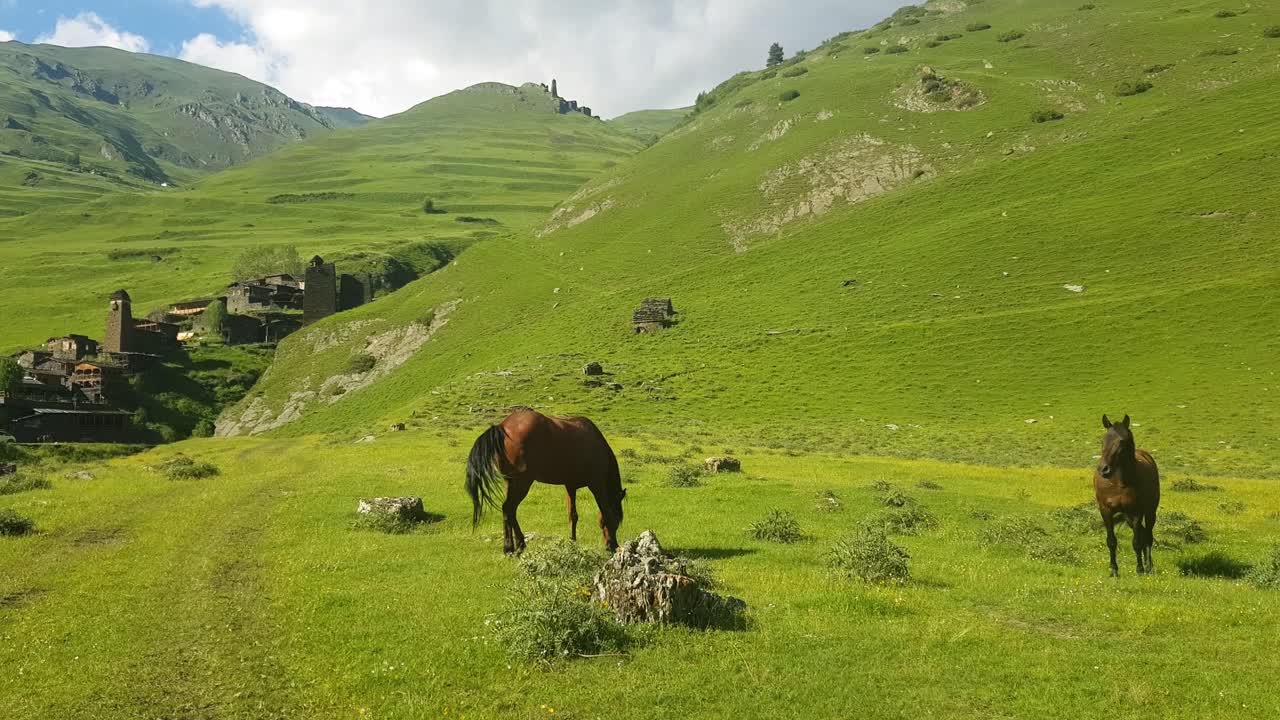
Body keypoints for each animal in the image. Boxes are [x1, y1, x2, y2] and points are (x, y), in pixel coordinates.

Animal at [465, 408, 626, 555]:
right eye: (618, 519)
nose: (610, 545)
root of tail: (502, 427)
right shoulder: (597, 485)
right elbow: (606, 513)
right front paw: (613, 546)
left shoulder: (570, 486)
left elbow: (573, 515)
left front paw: (572, 543)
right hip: (522, 482)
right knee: (508, 508)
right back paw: (511, 547)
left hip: (510, 482)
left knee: (510, 511)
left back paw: (517, 545)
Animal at [1093, 414, 1160, 576]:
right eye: (1103, 440)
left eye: (1122, 441)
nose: (1103, 469)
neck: (1119, 483)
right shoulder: (1106, 511)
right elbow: (1111, 541)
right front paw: (1114, 570)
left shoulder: (1136, 512)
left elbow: (1136, 542)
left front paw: (1139, 569)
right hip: (1127, 517)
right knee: (1143, 533)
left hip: (1150, 512)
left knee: (1147, 536)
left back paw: (1148, 567)